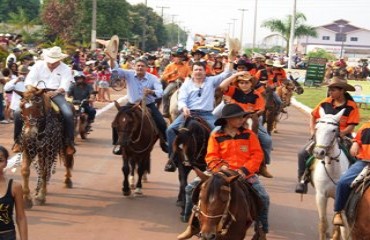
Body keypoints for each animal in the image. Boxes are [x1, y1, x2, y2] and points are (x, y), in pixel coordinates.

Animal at [310, 109, 350, 240]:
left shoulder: (340, 197)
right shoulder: (321, 195)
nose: (319, 152)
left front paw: (335, 235)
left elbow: (338, 225)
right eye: (317, 128)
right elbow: (323, 223)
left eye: (333, 130)